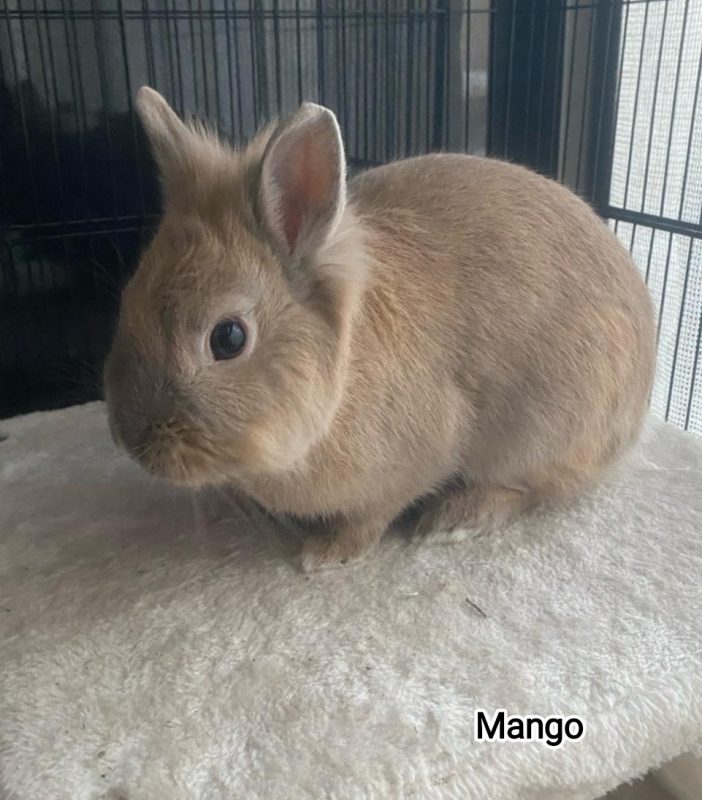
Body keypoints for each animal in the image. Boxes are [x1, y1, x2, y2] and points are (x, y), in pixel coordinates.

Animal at [104, 86, 656, 571]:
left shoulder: (416, 458)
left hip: (540, 433)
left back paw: (454, 519)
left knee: (529, 488)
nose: (130, 440)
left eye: (228, 338)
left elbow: (371, 516)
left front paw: (326, 554)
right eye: (129, 300)